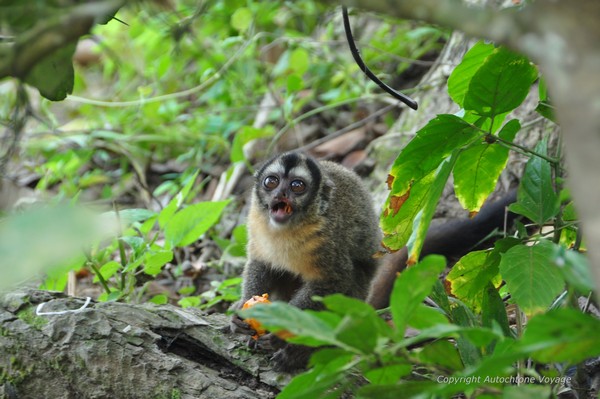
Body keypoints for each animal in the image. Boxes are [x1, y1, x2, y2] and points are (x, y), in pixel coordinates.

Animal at [230, 152, 380, 374]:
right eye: (271, 182)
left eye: (297, 186)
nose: (281, 193)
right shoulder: (255, 219)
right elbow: (260, 264)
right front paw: (241, 310)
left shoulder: (327, 238)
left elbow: (334, 281)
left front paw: (283, 331)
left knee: (354, 278)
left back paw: (297, 354)